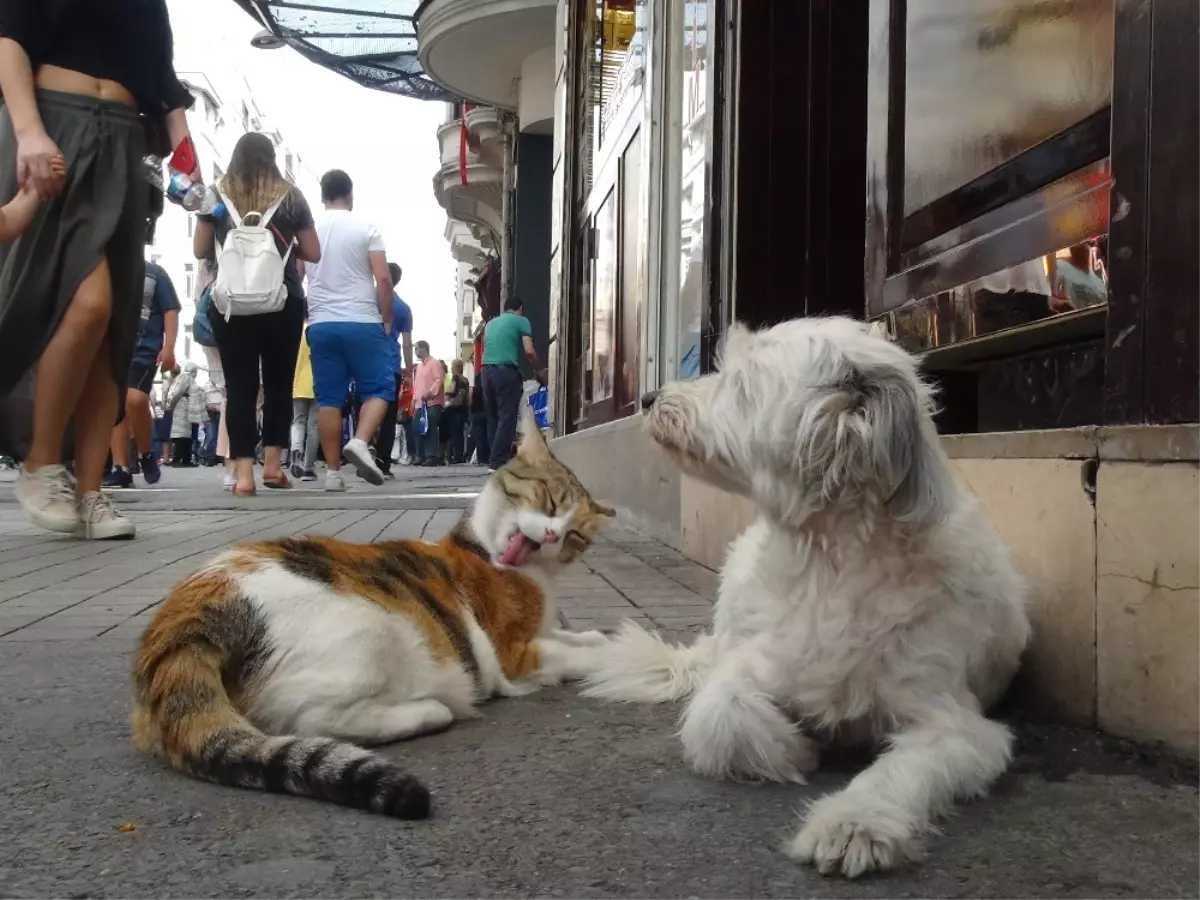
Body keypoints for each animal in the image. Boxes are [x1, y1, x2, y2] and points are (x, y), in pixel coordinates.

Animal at [131, 412, 614, 820]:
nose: (552, 535)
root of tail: (189, 607)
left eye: (575, 536)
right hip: (374, 632)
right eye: (550, 502)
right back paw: (432, 710)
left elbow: (577, 639)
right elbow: (570, 655)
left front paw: (598, 636)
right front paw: (614, 650)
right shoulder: (513, 654)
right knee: (310, 720)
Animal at [583, 319, 1032, 883]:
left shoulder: (955, 724)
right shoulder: (752, 668)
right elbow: (720, 712)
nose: (649, 397)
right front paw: (793, 749)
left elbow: (903, 768)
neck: (827, 567)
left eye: (742, 382)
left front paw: (854, 823)